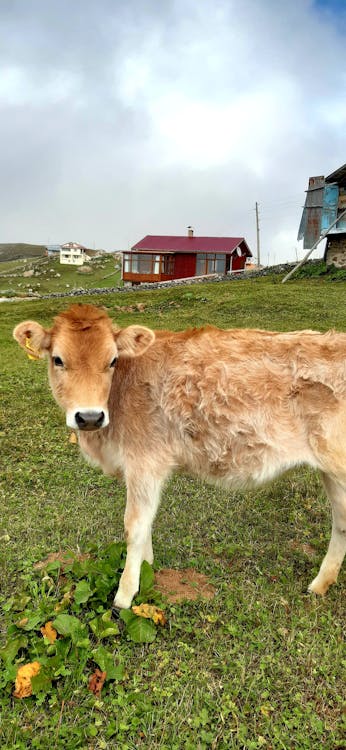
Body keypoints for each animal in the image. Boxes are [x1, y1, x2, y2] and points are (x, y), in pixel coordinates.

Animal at [13, 304, 346, 612]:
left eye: (112, 360)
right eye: (58, 359)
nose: (90, 417)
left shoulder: (145, 461)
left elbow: (134, 525)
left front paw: (124, 595)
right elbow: (146, 523)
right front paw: (147, 569)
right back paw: (320, 584)